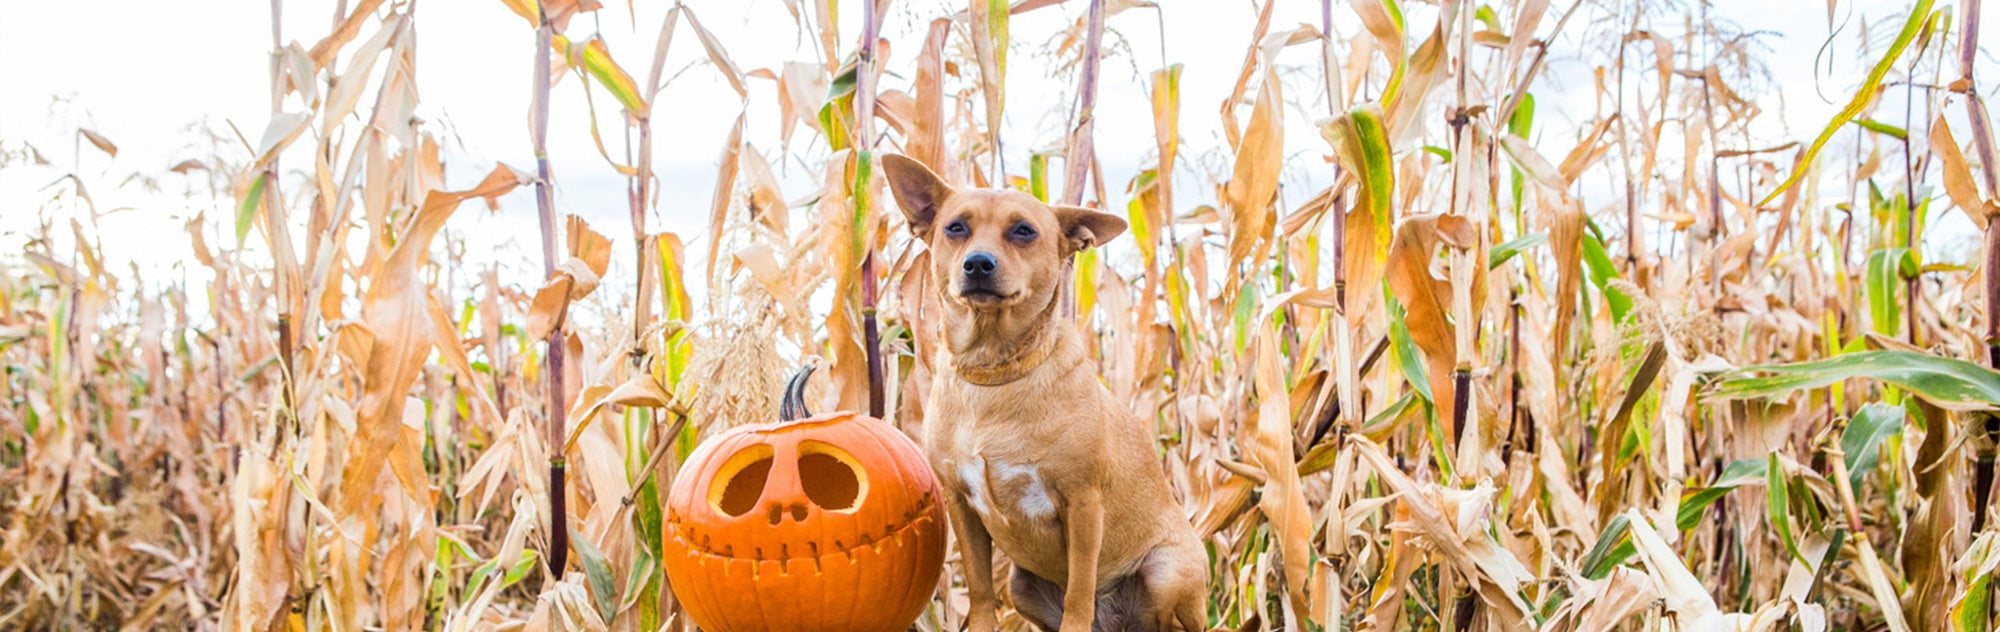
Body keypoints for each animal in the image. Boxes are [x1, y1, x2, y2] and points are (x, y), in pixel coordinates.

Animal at [888, 154, 1200, 632]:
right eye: (955, 227)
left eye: (1023, 231)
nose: (978, 264)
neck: (995, 371)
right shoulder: (960, 503)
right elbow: (980, 591)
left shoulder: (1083, 502)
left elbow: (1079, 591)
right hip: (1021, 586)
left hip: (1166, 571)